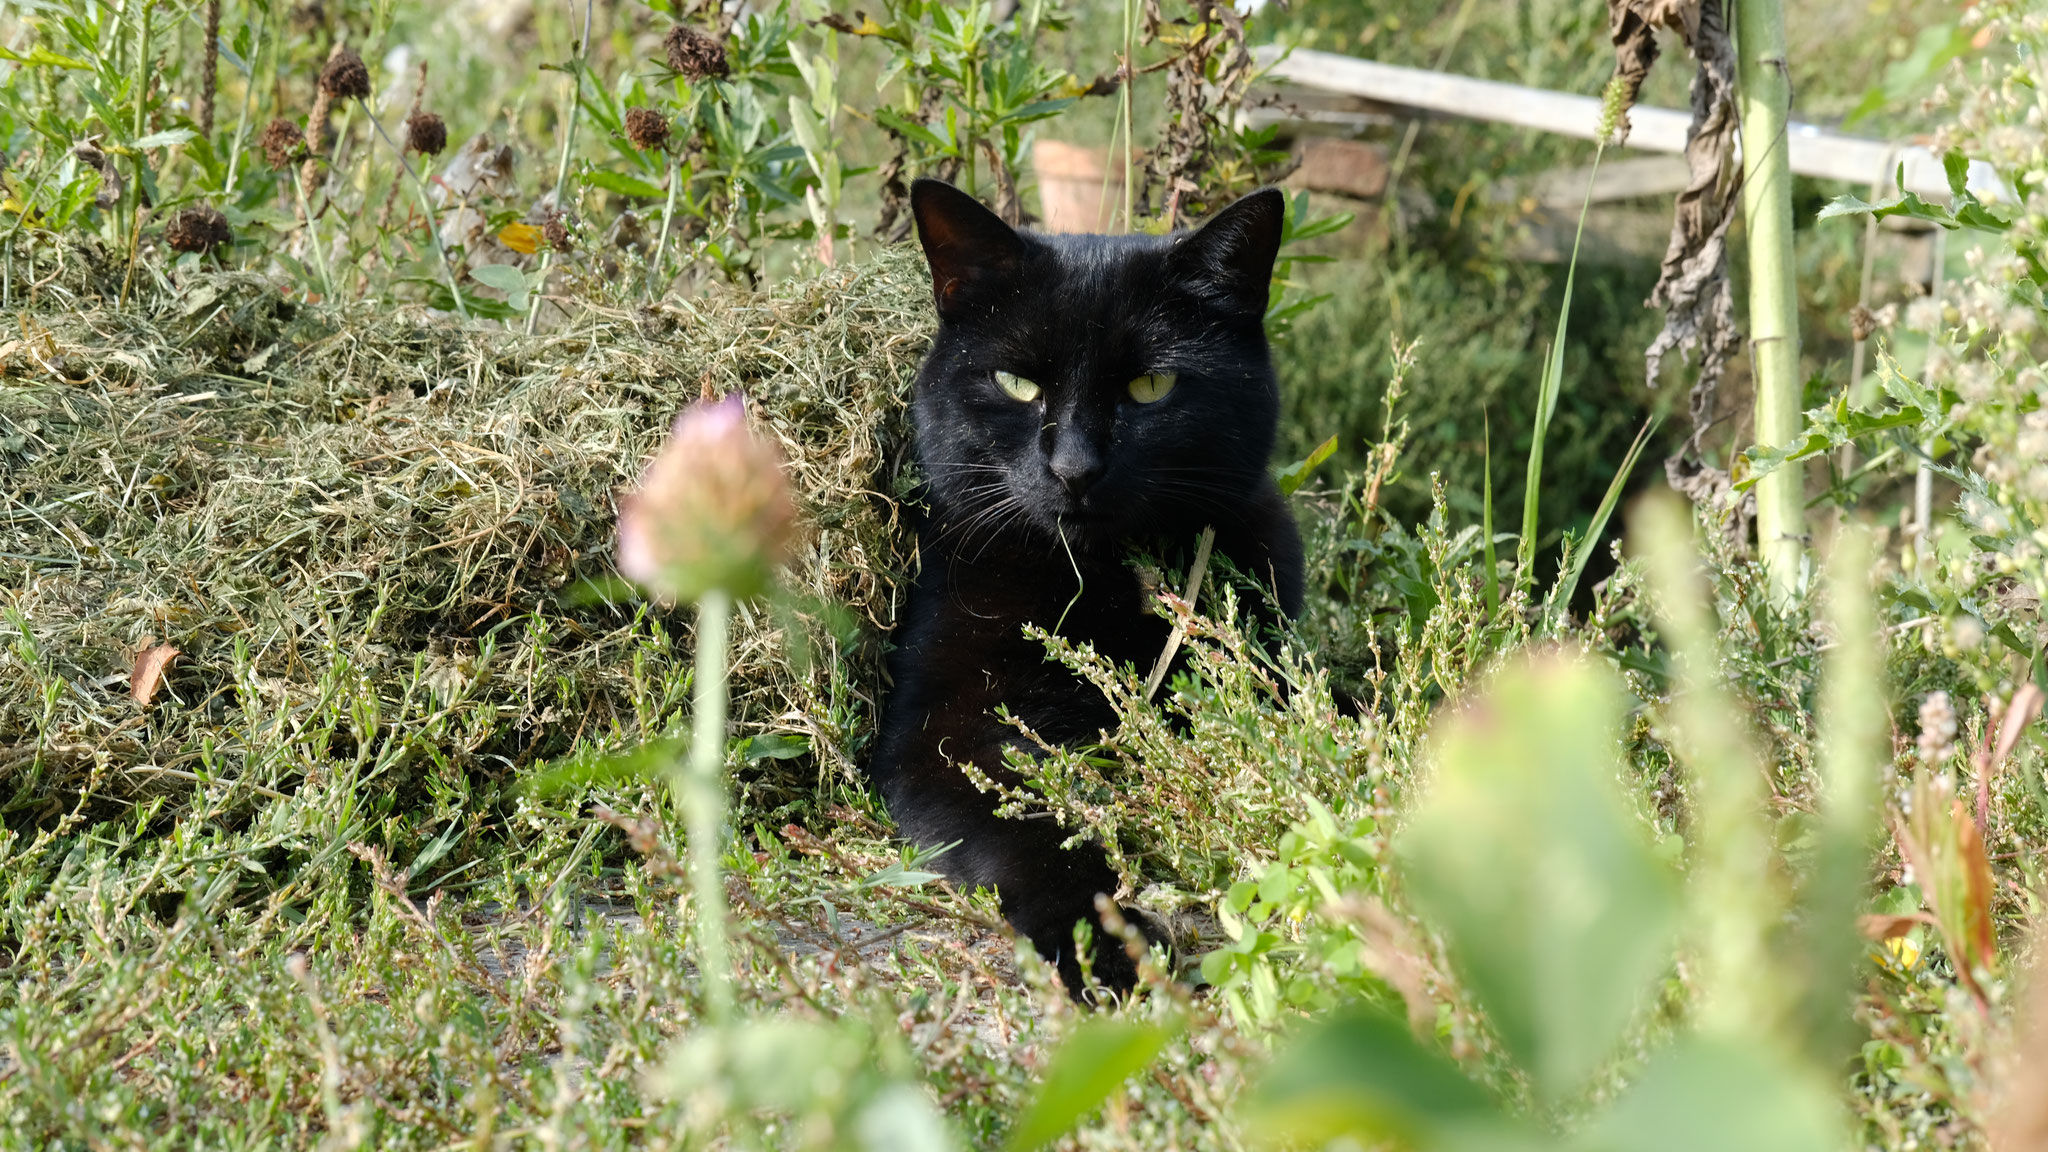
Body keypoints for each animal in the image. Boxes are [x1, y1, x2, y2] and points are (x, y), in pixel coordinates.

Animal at [872, 177, 1302, 988]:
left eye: (1150, 385)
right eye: (1016, 383)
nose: (1074, 469)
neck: (1097, 582)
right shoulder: (942, 731)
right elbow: (1036, 827)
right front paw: (1105, 943)